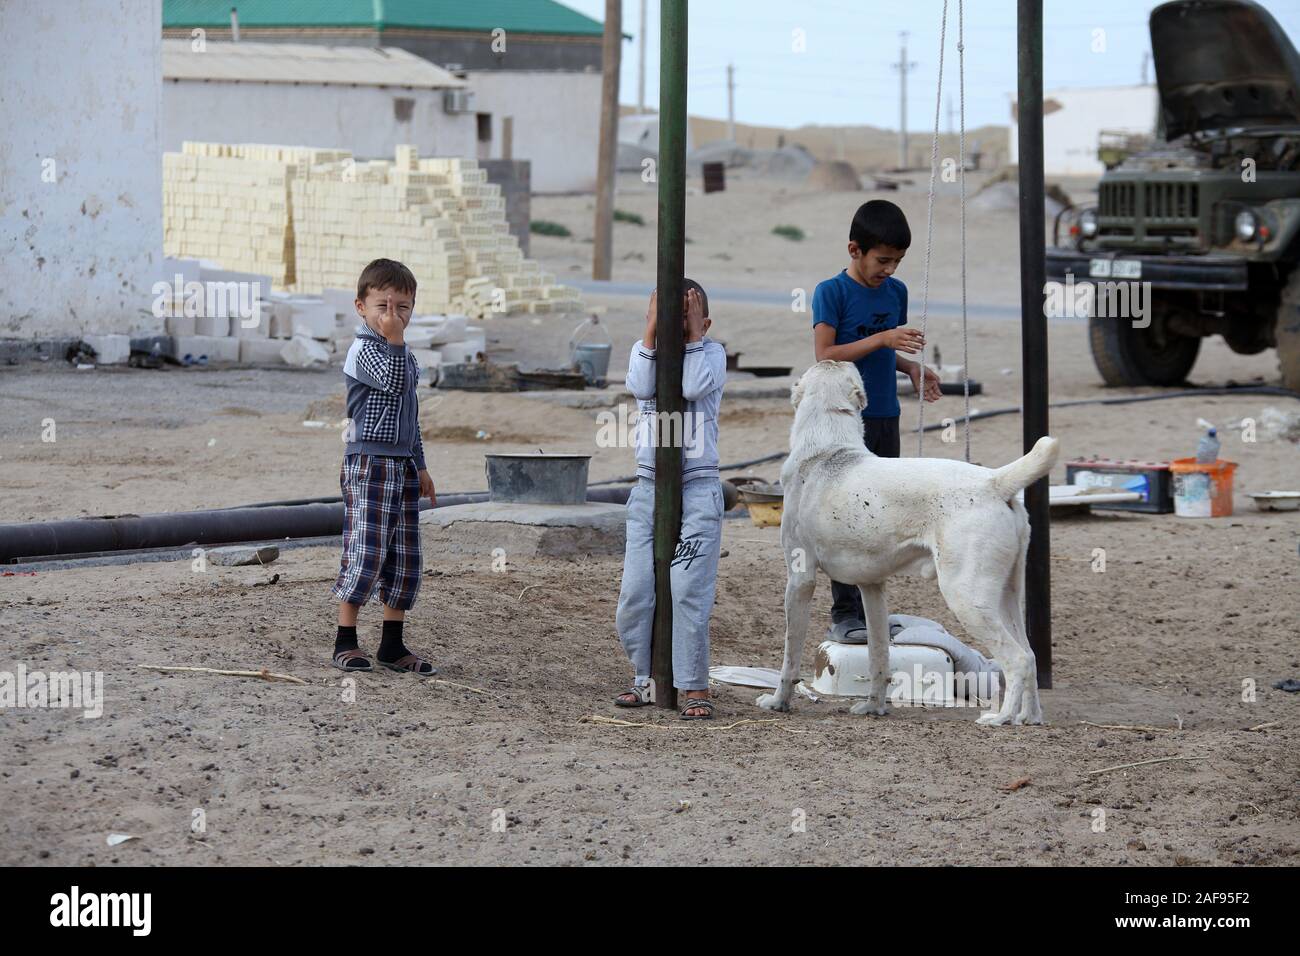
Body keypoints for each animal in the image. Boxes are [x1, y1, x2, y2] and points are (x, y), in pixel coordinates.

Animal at [759, 361, 1060, 728]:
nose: (835, 358)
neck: (826, 450)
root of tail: (993, 481)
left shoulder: (800, 580)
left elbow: (789, 657)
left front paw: (778, 702)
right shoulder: (872, 588)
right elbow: (878, 654)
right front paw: (873, 707)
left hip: (967, 598)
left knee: (1016, 659)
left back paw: (1000, 718)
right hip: (1005, 596)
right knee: (1029, 654)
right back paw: (1030, 717)